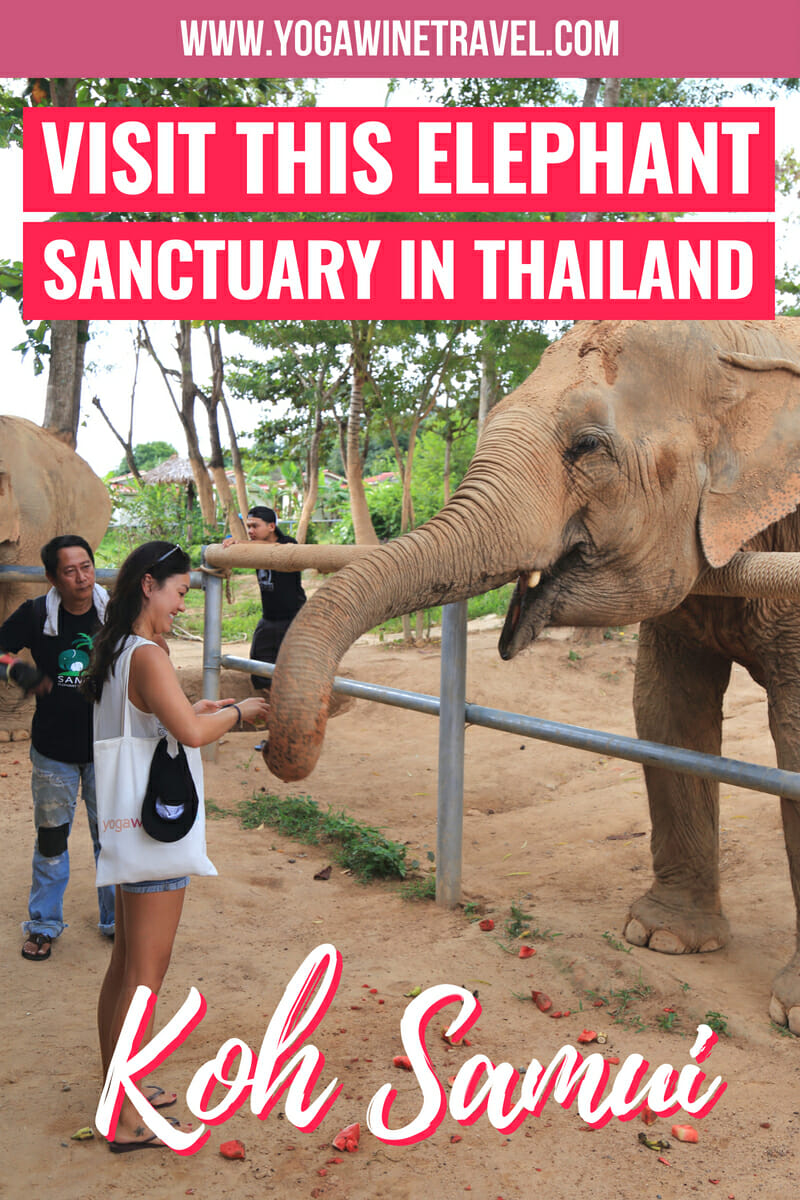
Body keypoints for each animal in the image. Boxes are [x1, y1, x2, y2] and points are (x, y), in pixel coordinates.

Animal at [263, 318, 800, 1031]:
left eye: (588, 447)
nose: (279, 753)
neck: (747, 347)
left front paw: (790, 1012)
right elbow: (666, 714)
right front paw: (661, 940)